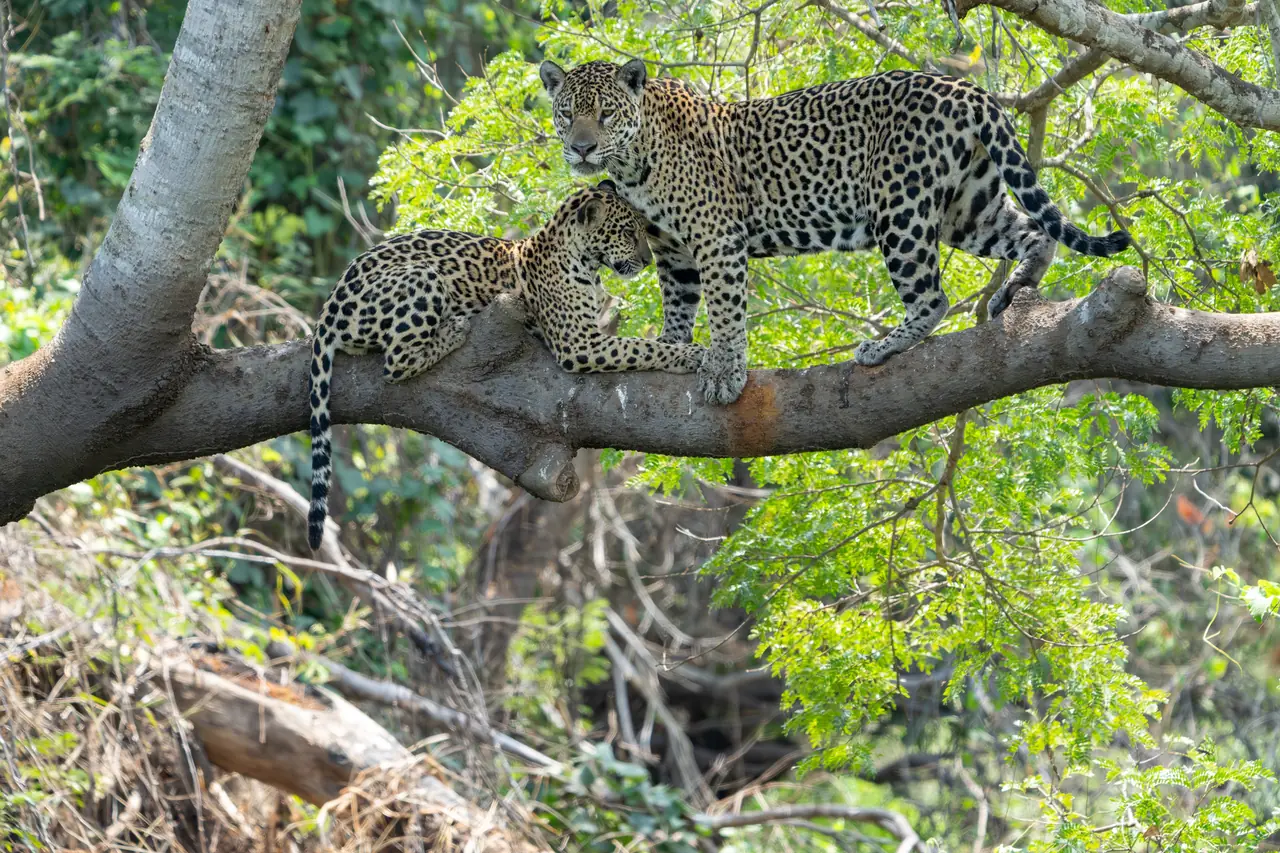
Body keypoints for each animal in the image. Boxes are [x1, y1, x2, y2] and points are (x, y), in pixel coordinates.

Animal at [307, 180, 706, 548]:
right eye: (626, 232)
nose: (648, 261)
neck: (583, 262)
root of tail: (327, 309)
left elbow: (641, 344)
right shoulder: (579, 343)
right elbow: (639, 347)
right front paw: (689, 354)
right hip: (422, 277)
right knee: (397, 362)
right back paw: (453, 329)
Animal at [539, 59, 1132, 405]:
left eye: (606, 114)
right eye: (566, 114)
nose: (581, 148)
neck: (633, 162)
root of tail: (967, 87)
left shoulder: (716, 237)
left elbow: (726, 312)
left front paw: (725, 373)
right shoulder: (672, 248)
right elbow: (680, 305)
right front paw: (669, 347)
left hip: (899, 205)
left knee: (933, 296)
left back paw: (884, 346)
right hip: (968, 207)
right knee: (1033, 232)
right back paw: (1019, 286)